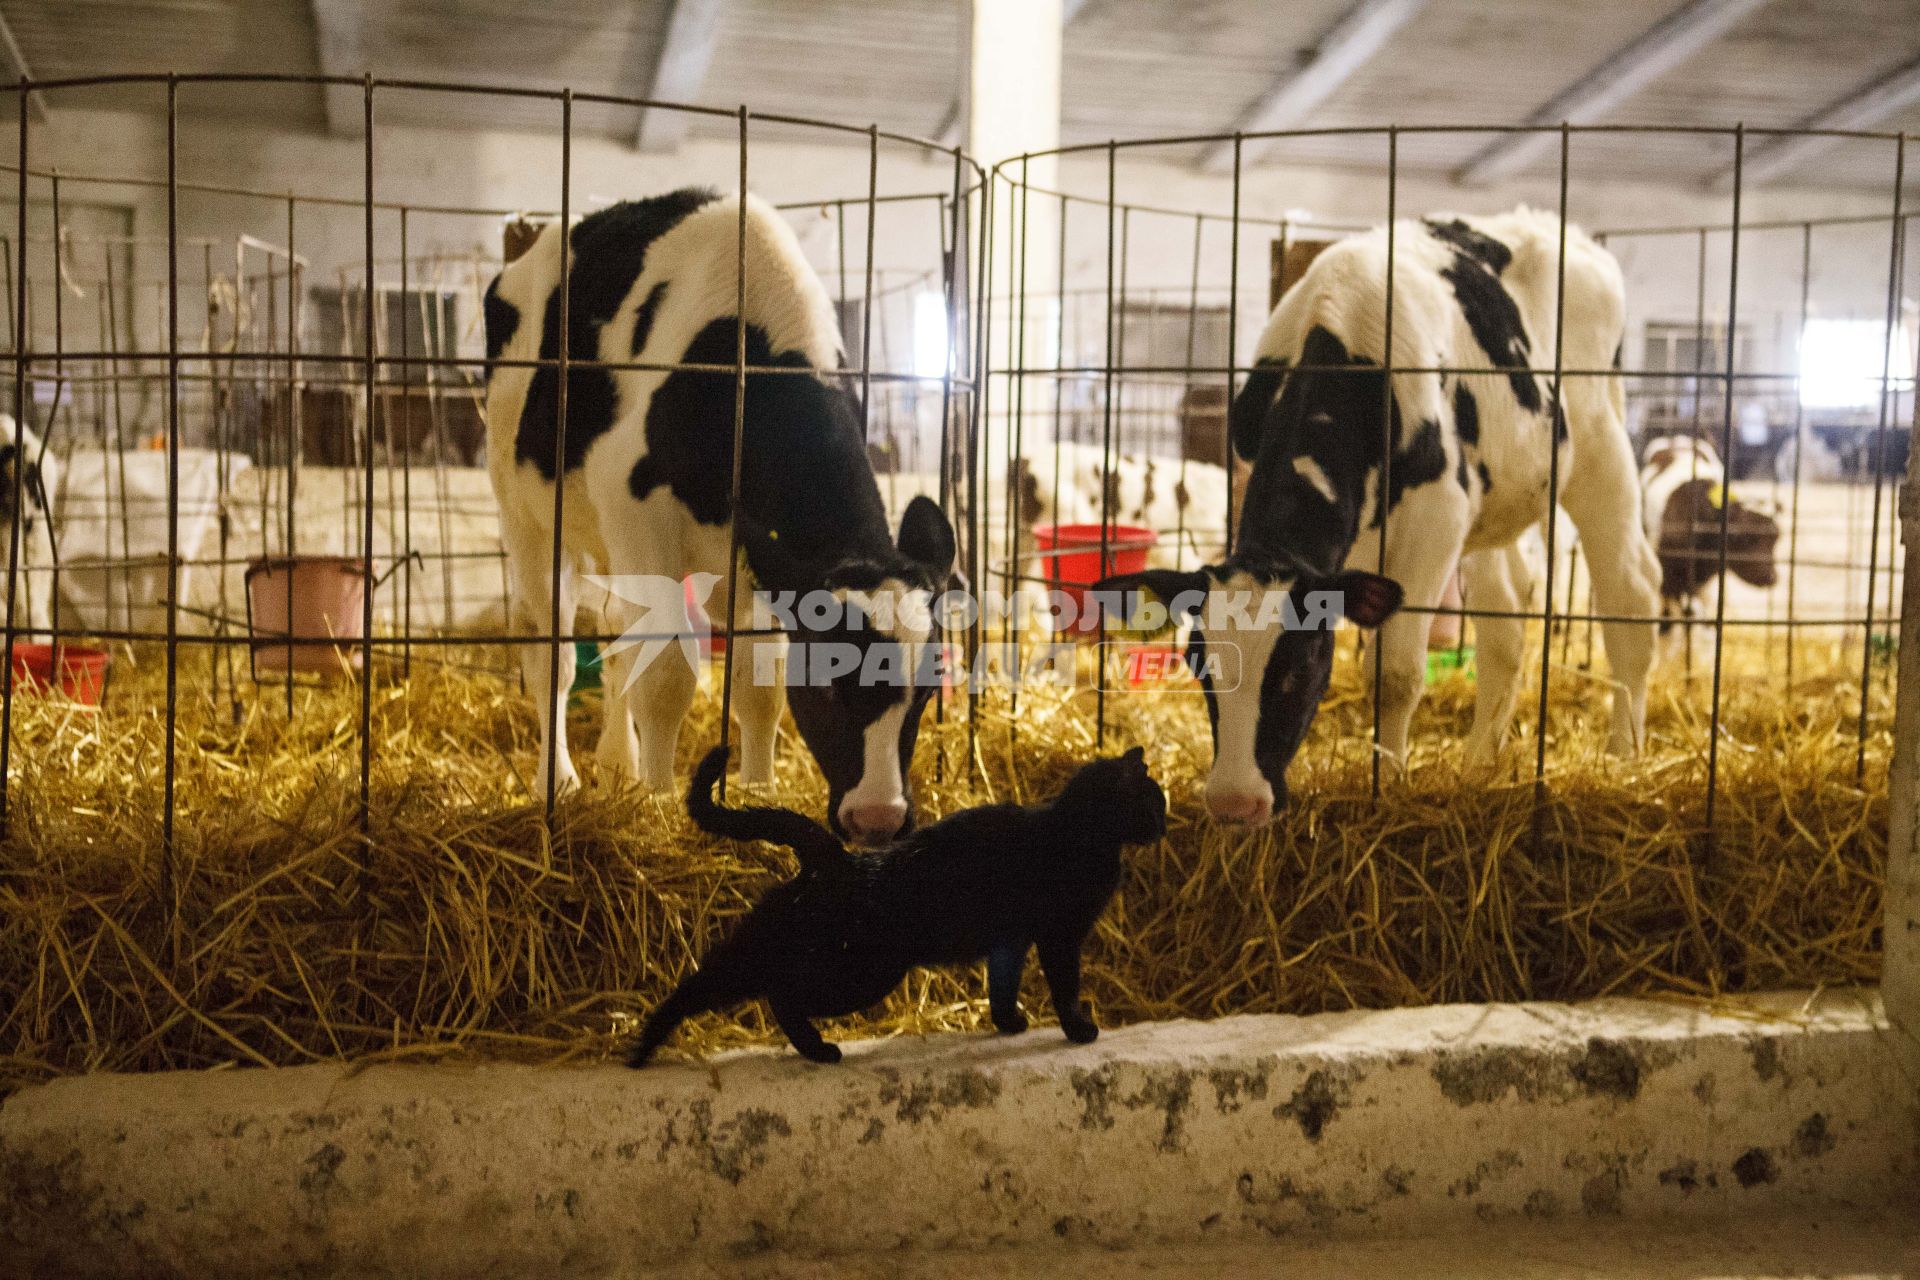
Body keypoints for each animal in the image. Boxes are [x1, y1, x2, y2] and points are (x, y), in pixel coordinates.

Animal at [483, 182, 956, 840]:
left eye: (928, 689)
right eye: (828, 683)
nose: (879, 818)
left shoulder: (762, 558)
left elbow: (759, 680)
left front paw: (758, 789)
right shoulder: (637, 507)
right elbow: (665, 674)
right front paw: (656, 805)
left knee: (616, 638)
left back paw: (618, 767)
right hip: (525, 510)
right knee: (552, 648)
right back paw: (562, 781)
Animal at [629, 744, 1167, 1066]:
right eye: (1155, 802)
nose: (1166, 826)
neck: (1077, 830)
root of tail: (836, 857)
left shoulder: (1010, 940)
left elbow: (1001, 984)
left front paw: (1009, 1023)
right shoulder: (1060, 937)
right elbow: (1065, 988)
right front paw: (1078, 1029)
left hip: (761, 948)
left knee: (700, 987)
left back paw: (640, 1049)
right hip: (862, 974)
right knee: (781, 995)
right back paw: (819, 1049)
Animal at [1098, 205, 1666, 825]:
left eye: (1299, 668)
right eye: (1199, 663)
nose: (1234, 803)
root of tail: (1556, 226)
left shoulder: (1438, 516)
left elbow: (1394, 673)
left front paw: (1388, 780)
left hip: (1599, 441)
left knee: (1632, 595)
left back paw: (1624, 756)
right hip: (1496, 499)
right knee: (1508, 625)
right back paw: (1479, 765)